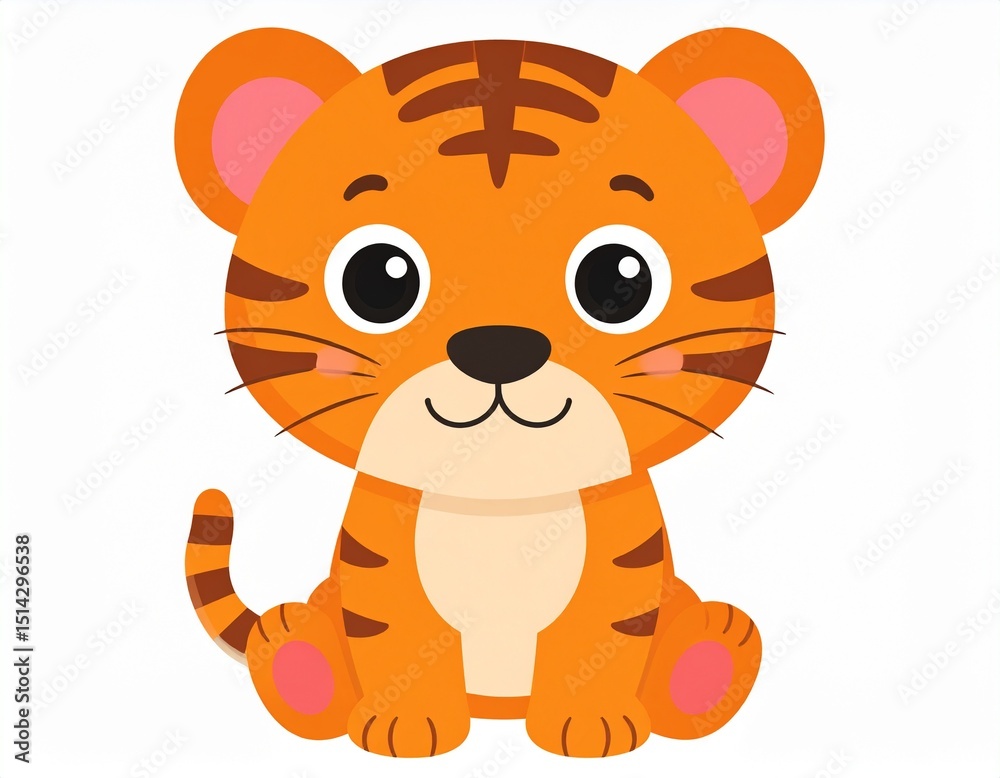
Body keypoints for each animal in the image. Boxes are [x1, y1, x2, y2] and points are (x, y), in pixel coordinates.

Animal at [177, 26, 823, 758]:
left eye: (619, 278)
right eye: (376, 279)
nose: (498, 347)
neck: (499, 501)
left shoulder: (622, 569)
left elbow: (599, 639)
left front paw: (591, 724)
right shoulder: (379, 566)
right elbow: (400, 637)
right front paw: (405, 725)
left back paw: (703, 669)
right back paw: (299, 667)